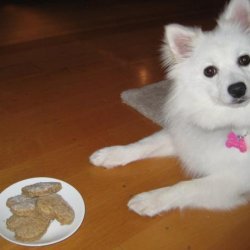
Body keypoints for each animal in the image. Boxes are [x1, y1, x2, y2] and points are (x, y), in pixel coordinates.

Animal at [91, 0, 250, 216]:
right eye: (210, 71)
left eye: (245, 60)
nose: (238, 89)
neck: (230, 123)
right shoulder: (183, 135)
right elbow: (144, 144)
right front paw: (112, 154)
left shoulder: (234, 178)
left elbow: (185, 186)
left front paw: (151, 199)